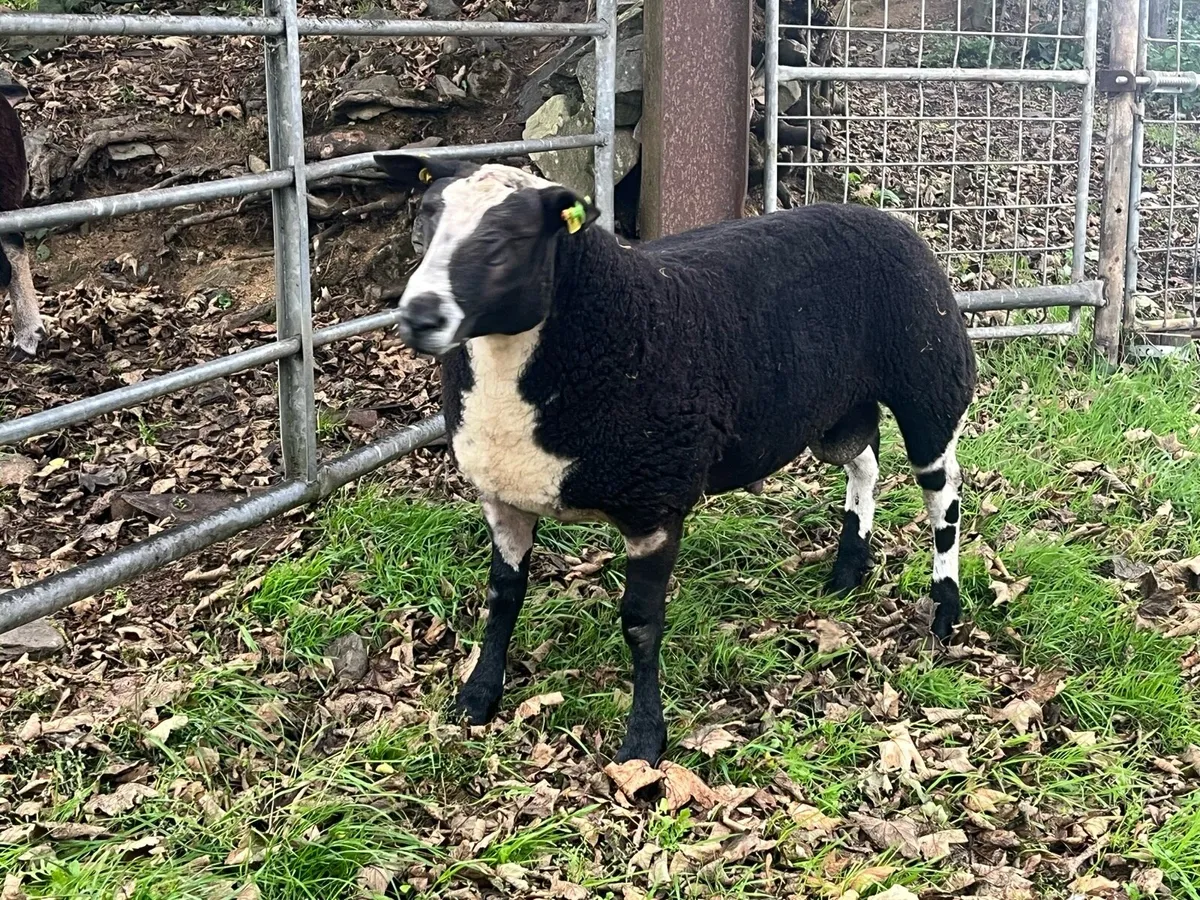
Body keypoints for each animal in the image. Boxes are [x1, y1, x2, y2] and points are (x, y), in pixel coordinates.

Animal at [374, 153, 978, 764]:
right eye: (425, 220)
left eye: (510, 240)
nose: (419, 316)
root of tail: (886, 217)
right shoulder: (502, 498)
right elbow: (503, 596)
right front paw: (477, 696)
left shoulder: (655, 505)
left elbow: (640, 623)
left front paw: (643, 739)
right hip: (834, 408)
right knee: (865, 461)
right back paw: (849, 569)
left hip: (930, 380)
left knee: (943, 495)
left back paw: (945, 608)